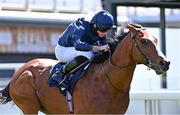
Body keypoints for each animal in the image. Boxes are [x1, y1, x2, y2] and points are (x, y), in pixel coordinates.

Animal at [0, 23, 169, 113]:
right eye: (144, 41)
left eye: (156, 39)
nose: (165, 63)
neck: (108, 82)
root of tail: (20, 71)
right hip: (29, 106)